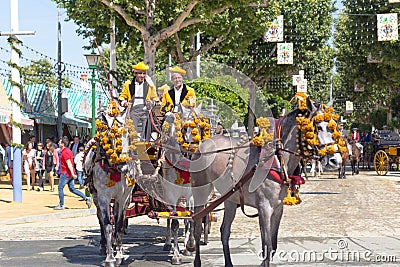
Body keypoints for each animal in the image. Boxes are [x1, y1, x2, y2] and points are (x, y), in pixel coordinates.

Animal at [189, 100, 342, 267]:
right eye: (318, 127)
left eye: (334, 126)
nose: (336, 160)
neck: (277, 158)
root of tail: (204, 144)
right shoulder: (264, 208)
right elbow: (267, 246)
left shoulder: (277, 209)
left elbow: (272, 246)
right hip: (200, 191)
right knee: (197, 225)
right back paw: (197, 259)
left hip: (230, 198)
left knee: (225, 230)